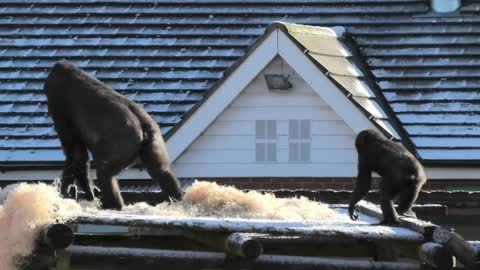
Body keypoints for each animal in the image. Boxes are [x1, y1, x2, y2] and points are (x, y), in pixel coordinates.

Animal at [43, 60, 183, 210]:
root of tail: (143, 127)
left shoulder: (60, 108)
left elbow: (76, 155)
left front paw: (66, 191)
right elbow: (79, 157)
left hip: (123, 143)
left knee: (105, 172)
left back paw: (111, 205)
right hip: (154, 138)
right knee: (161, 171)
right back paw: (177, 198)